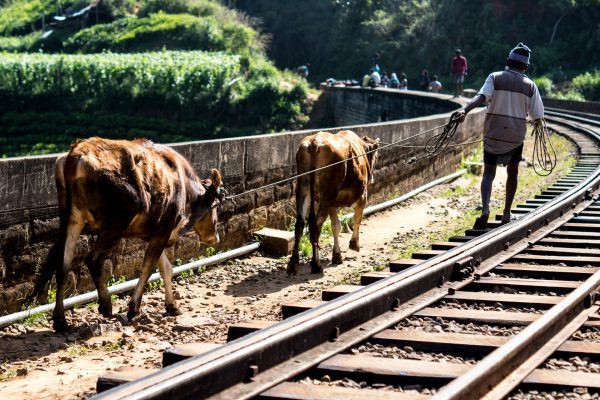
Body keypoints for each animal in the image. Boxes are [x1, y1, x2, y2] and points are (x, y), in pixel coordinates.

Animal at [28, 138, 225, 332]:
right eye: (216, 206)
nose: (215, 237)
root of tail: (76, 153)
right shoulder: (163, 230)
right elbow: (148, 268)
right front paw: (134, 308)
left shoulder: (154, 233)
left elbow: (166, 269)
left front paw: (172, 306)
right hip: (116, 223)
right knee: (93, 258)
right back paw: (105, 305)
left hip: (72, 218)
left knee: (63, 266)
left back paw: (60, 321)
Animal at [288, 130, 378, 276]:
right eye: (376, 157)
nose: (373, 178)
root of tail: (315, 142)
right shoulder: (362, 196)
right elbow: (356, 220)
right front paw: (354, 244)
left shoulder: (333, 203)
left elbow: (335, 226)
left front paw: (337, 255)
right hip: (326, 192)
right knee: (315, 226)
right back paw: (316, 265)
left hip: (303, 186)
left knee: (300, 224)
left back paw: (293, 265)